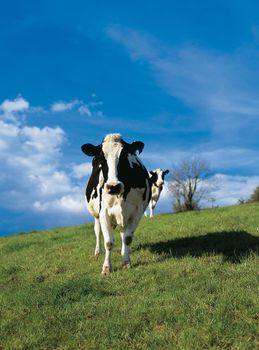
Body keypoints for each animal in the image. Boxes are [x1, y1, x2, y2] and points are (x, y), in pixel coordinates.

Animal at [80, 133, 150, 274]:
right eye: (102, 158)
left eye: (124, 157)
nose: (113, 186)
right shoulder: (104, 212)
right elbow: (108, 242)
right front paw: (107, 268)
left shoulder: (137, 211)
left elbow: (127, 238)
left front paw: (126, 262)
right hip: (96, 215)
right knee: (98, 231)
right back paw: (97, 252)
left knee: (123, 232)